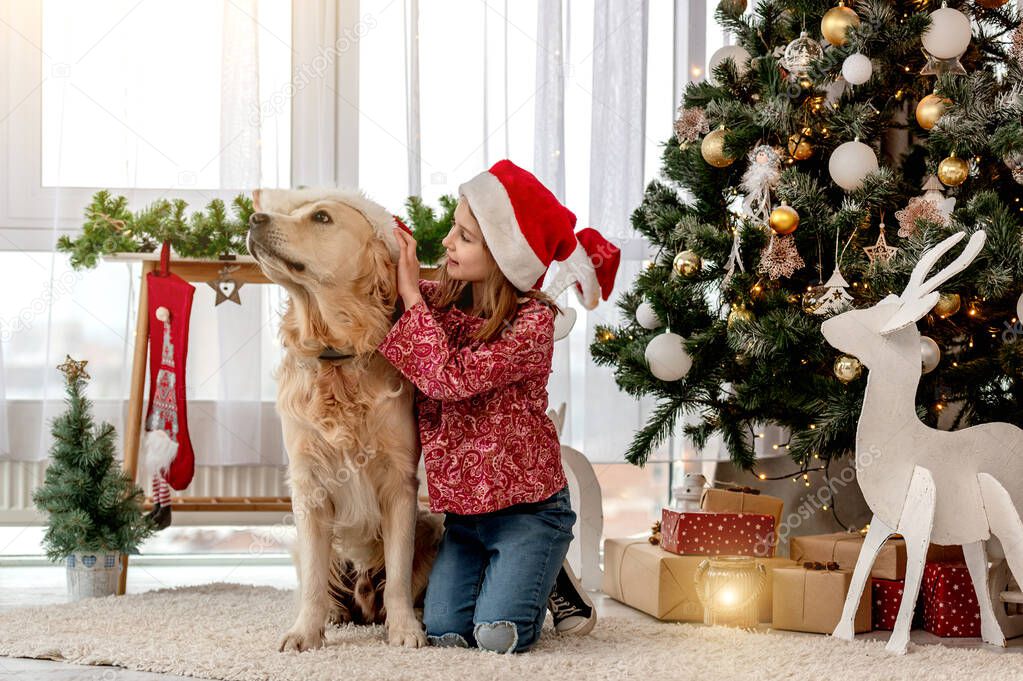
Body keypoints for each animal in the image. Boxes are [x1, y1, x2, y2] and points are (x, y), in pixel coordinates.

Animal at [249, 184, 441, 646]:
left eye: (321, 217)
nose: (253, 219)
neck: (337, 355)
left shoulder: (400, 483)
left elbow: (399, 576)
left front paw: (404, 629)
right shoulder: (308, 484)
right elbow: (315, 580)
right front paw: (306, 632)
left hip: (433, 526)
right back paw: (335, 613)